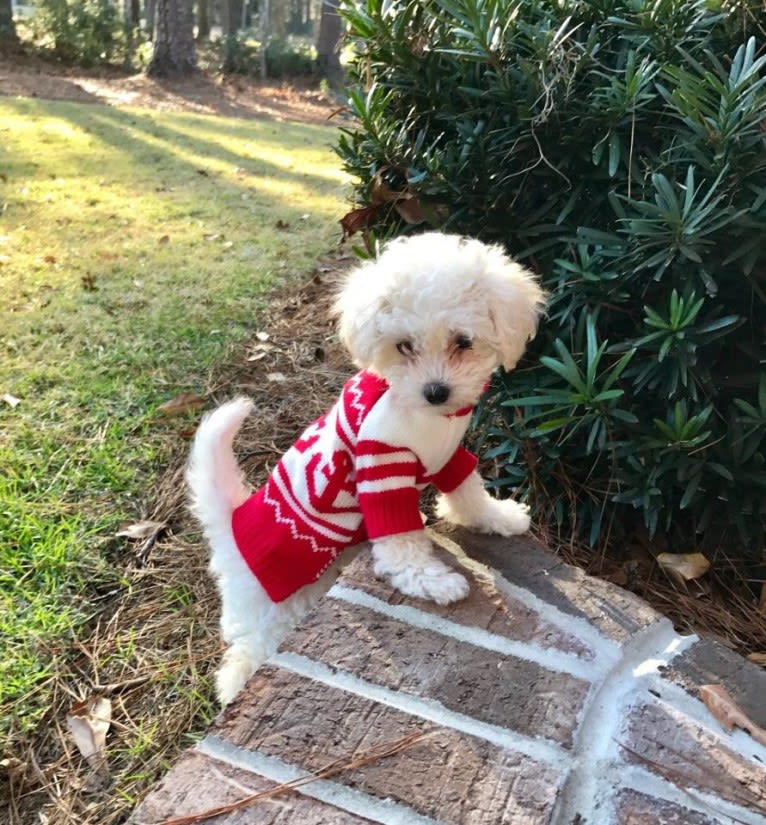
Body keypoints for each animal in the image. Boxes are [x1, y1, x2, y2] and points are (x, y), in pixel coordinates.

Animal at [186, 232, 544, 700]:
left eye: (463, 342)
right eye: (404, 346)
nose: (436, 391)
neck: (428, 421)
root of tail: (230, 524)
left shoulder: (447, 456)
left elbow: (468, 491)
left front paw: (498, 516)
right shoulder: (382, 465)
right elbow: (401, 542)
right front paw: (430, 580)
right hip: (272, 607)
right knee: (246, 653)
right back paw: (235, 685)